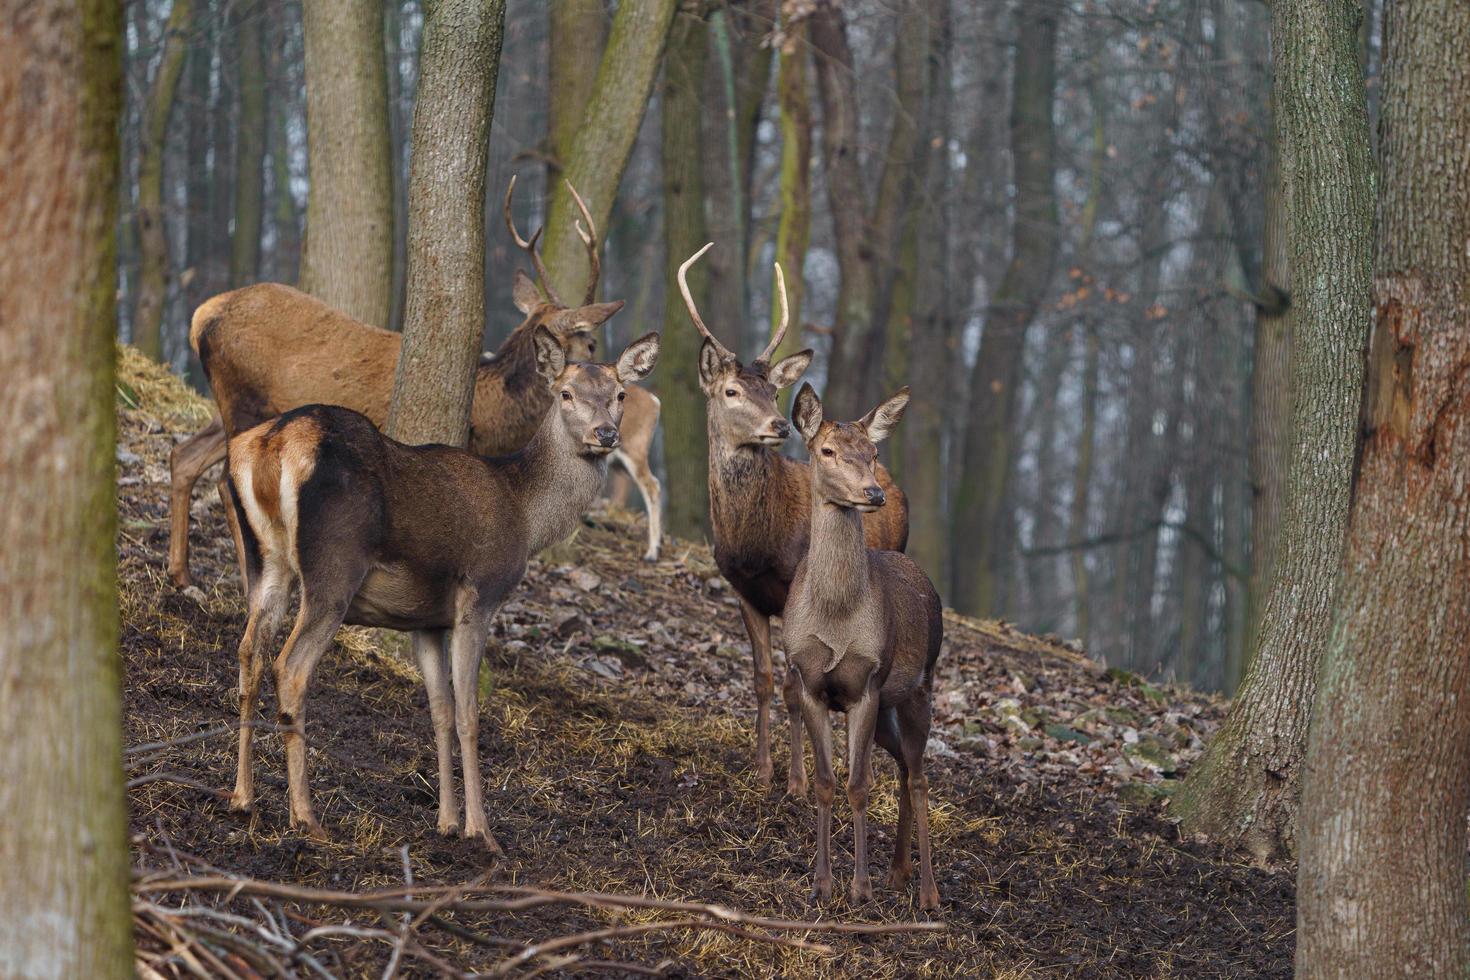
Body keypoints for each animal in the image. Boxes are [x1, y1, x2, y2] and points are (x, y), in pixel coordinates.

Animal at [163, 178, 664, 590]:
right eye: (591, 341)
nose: (617, 381)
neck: (493, 410)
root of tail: (200, 317)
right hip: (242, 396)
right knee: (225, 481)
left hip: (236, 402)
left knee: (184, 456)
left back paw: (182, 573)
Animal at [224, 332, 661, 852]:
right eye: (566, 393)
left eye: (620, 394)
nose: (606, 434)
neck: (526, 516)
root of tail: (270, 445)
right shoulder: (480, 593)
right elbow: (470, 713)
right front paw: (482, 833)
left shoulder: (426, 621)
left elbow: (440, 710)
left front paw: (447, 822)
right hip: (334, 567)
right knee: (289, 668)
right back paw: (306, 817)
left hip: (263, 560)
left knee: (249, 651)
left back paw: (242, 798)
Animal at [676, 245, 905, 799]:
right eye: (732, 391)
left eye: (773, 393)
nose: (779, 426)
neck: (756, 543)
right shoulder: (744, 590)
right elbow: (761, 679)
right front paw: (762, 769)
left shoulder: (790, 593)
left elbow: (792, 687)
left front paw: (798, 781)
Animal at [787, 382, 946, 910]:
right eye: (827, 450)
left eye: (874, 453)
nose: (873, 492)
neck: (837, 618)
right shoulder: (809, 683)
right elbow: (824, 783)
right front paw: (820, 883)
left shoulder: (869, 684)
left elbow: (858, 786)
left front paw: (859, 887)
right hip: (889, 713)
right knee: (901, 769)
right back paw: (898, 872)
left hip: (919, 687)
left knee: (918, 777)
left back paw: (927, 890)